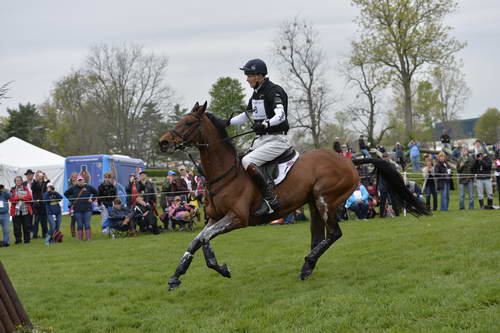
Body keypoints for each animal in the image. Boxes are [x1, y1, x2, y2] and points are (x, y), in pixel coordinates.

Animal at [160, 102, 430, 290]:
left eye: (188, 122)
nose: (163, 143)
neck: (225, 174)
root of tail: (350, 162)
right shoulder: (214, 219)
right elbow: (198, 241)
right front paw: (181, 275)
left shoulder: (236, 218)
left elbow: (203, 239)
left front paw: (206, 270)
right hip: (313, 204)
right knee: (319, 236)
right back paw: (308, 266)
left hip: (325, 200)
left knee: (334, 234)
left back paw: (308, 263)